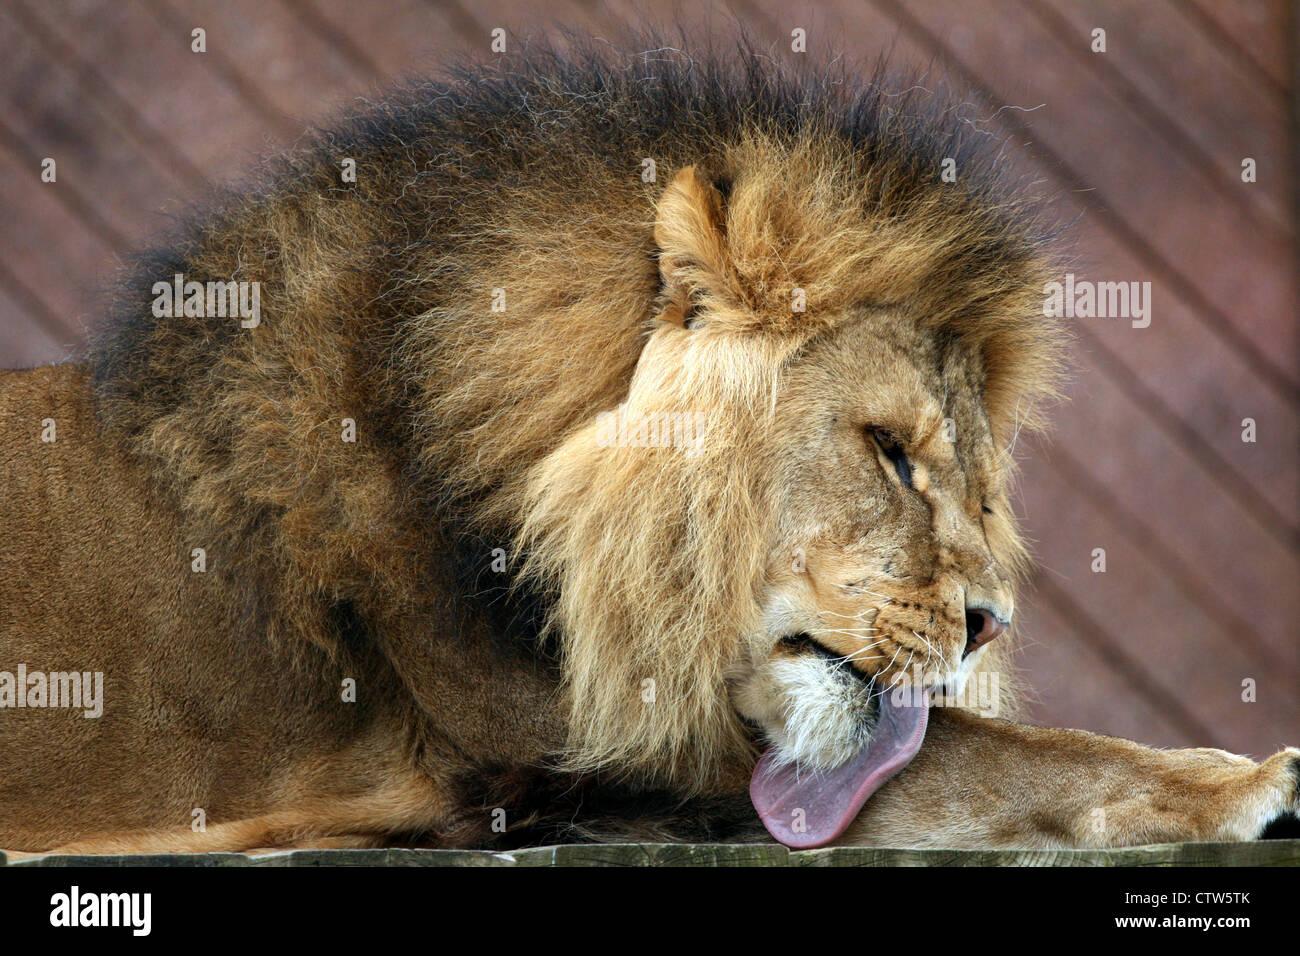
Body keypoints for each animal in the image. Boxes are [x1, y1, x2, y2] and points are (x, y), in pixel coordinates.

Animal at [2, 41, 1300, 858]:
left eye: (979, 491)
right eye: (887, 450)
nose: (990, 624)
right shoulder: (555, 757)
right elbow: (1007, 757)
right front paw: (1251, 782)